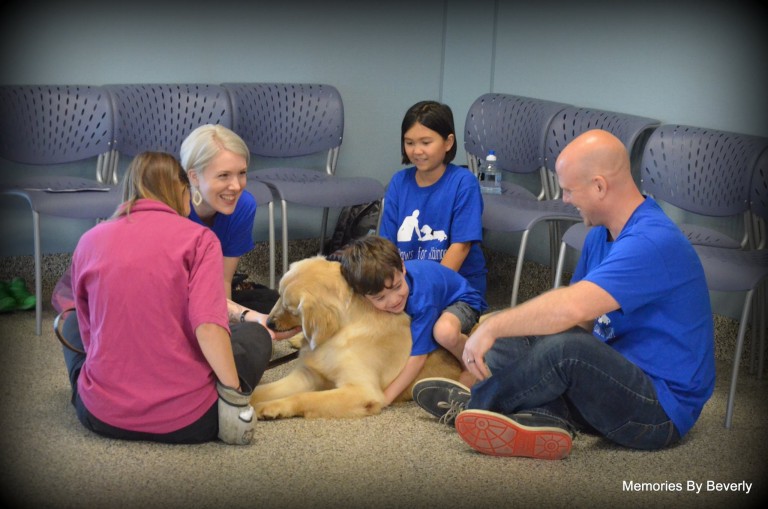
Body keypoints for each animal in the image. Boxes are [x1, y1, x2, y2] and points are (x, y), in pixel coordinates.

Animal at [249, 256, 460, 418]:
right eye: (278, 295)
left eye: (290, 308)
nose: (269, 323)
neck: (341, 333)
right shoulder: (307, 375)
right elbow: (261, 390)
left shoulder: (361, 390)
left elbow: (305, 397)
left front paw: (271, 407)